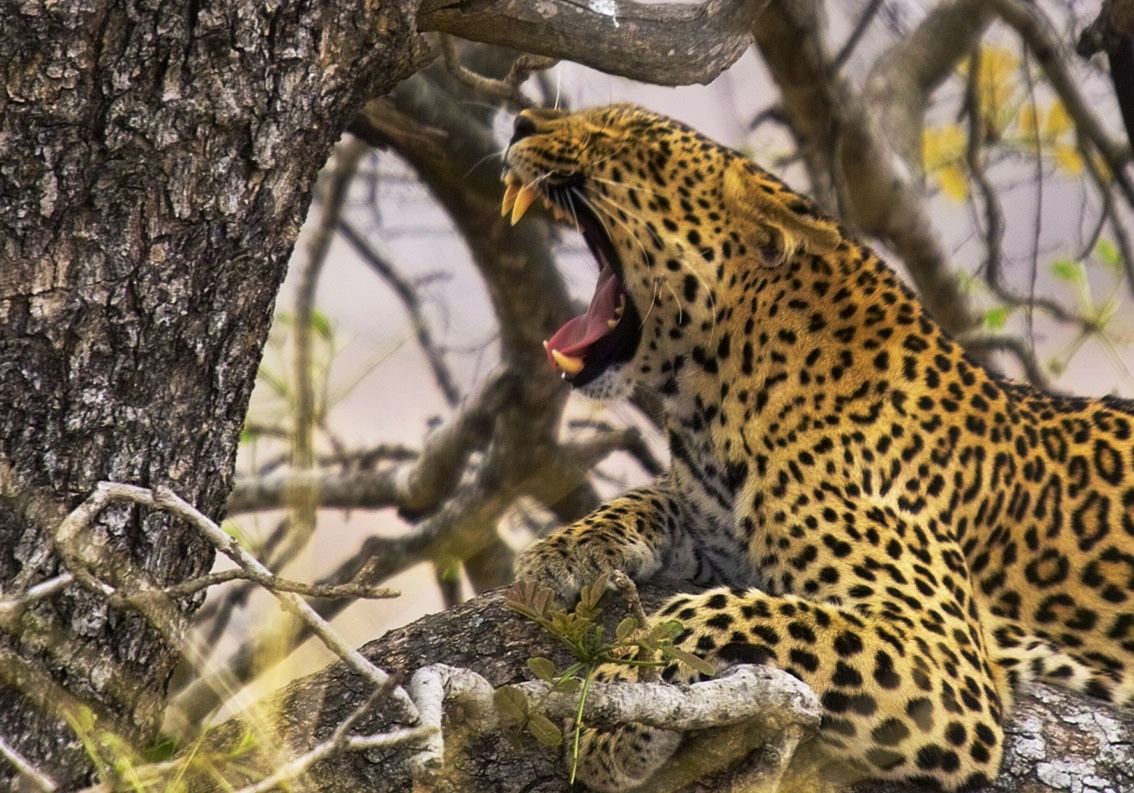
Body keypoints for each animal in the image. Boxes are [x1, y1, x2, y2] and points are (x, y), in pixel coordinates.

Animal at [502, 103, 1134, 792]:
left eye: (624, 138)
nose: (521, 121)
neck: (713, 400)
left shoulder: (943, 661)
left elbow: (723, 613)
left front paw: (617, 706)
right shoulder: (710, 520)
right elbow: (656, 497)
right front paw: (565, 553)